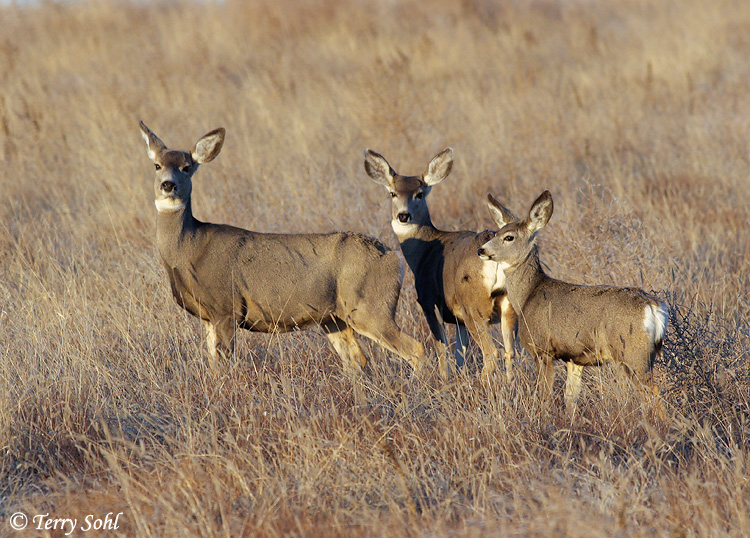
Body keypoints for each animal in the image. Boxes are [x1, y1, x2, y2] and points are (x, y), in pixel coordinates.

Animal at [139, 121, 426, 376]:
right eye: (157, 165)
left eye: (187, 167)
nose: (168, 185)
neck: (188, 249)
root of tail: (395, 258)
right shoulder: (210, 317)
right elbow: (212, 364)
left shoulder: (225, 306)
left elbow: (223, 366)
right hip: (335, 318)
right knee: (358, 359)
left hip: (371, 306)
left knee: (416, 349)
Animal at [364, 148, 517, 381]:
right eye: (392, 193)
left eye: (419, 193)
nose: (403, 215)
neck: (423, 253)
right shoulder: (458, 319)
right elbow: (460, 354)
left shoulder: (428, 301)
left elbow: (441, 348)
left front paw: (444, 379)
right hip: (508, 306)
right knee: (512, 352)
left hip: (474, 306)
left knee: (493, 352)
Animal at [477, 190, 668, 415]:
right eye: (496, 233)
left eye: (509, 237)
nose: (481, 250)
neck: (527, 296)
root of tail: (653, 306)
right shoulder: (575, 358)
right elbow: (570, 397)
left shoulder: (541, 347)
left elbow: (545, 392)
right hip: (646, 354)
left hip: (632, 352)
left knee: (652, 390)